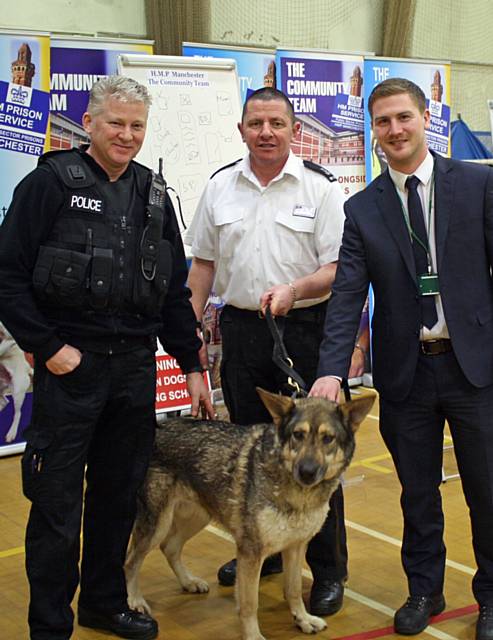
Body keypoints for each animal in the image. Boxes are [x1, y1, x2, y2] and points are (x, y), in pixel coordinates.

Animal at [125, 388, 374, 636]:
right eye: (298, 435)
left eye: (328, 438)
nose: (307, 472)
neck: (297, 494)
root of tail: (157, 428)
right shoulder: (251, 553)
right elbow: (249, 604)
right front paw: (253, 635)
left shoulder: (295, 547)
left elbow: (292, 590)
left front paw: (303, 619)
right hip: (157, 525)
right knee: (131, 562)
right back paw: (134, 602)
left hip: (196, 517)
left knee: (169, 547)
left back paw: (188, 582)